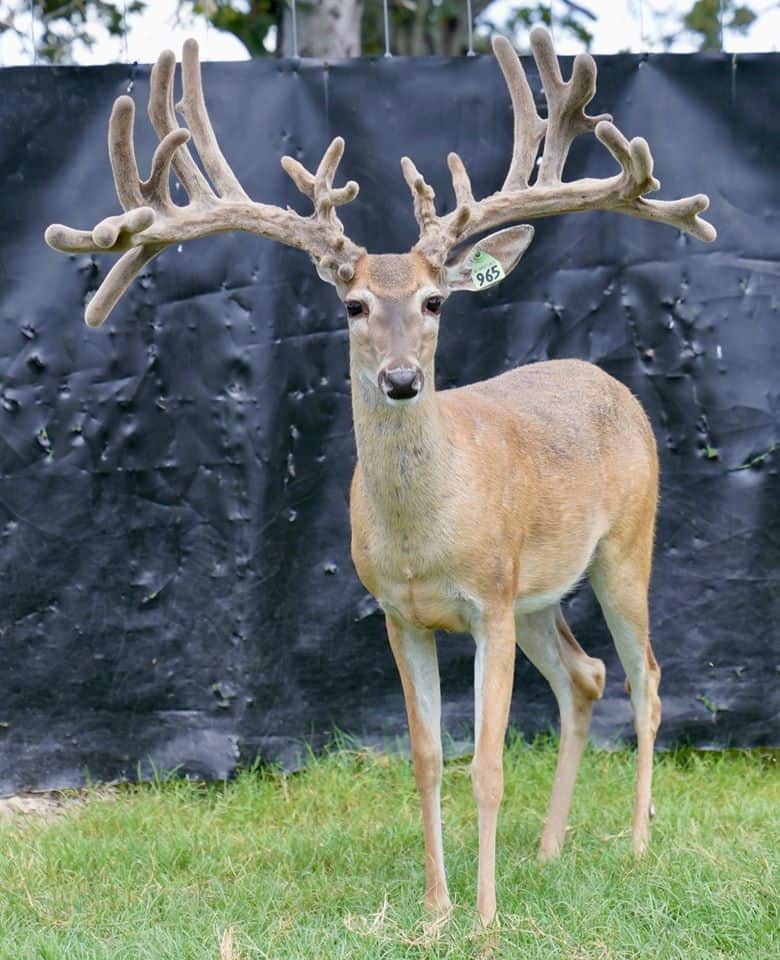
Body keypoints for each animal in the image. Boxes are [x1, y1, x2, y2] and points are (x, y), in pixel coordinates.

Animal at [44, 28, 716, 926]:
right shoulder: (401, 614)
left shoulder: (486, 601)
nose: (400, 378)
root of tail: (612, 383)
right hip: (537, 592)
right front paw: (435, 910)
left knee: (646, 674)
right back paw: (550, 848)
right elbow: (428, 757)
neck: (424, 534)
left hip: (623, 547)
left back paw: (638, 841)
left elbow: (487, 762)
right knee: (586, 676)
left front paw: (484, 918)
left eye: (434, 301)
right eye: (355, 304)